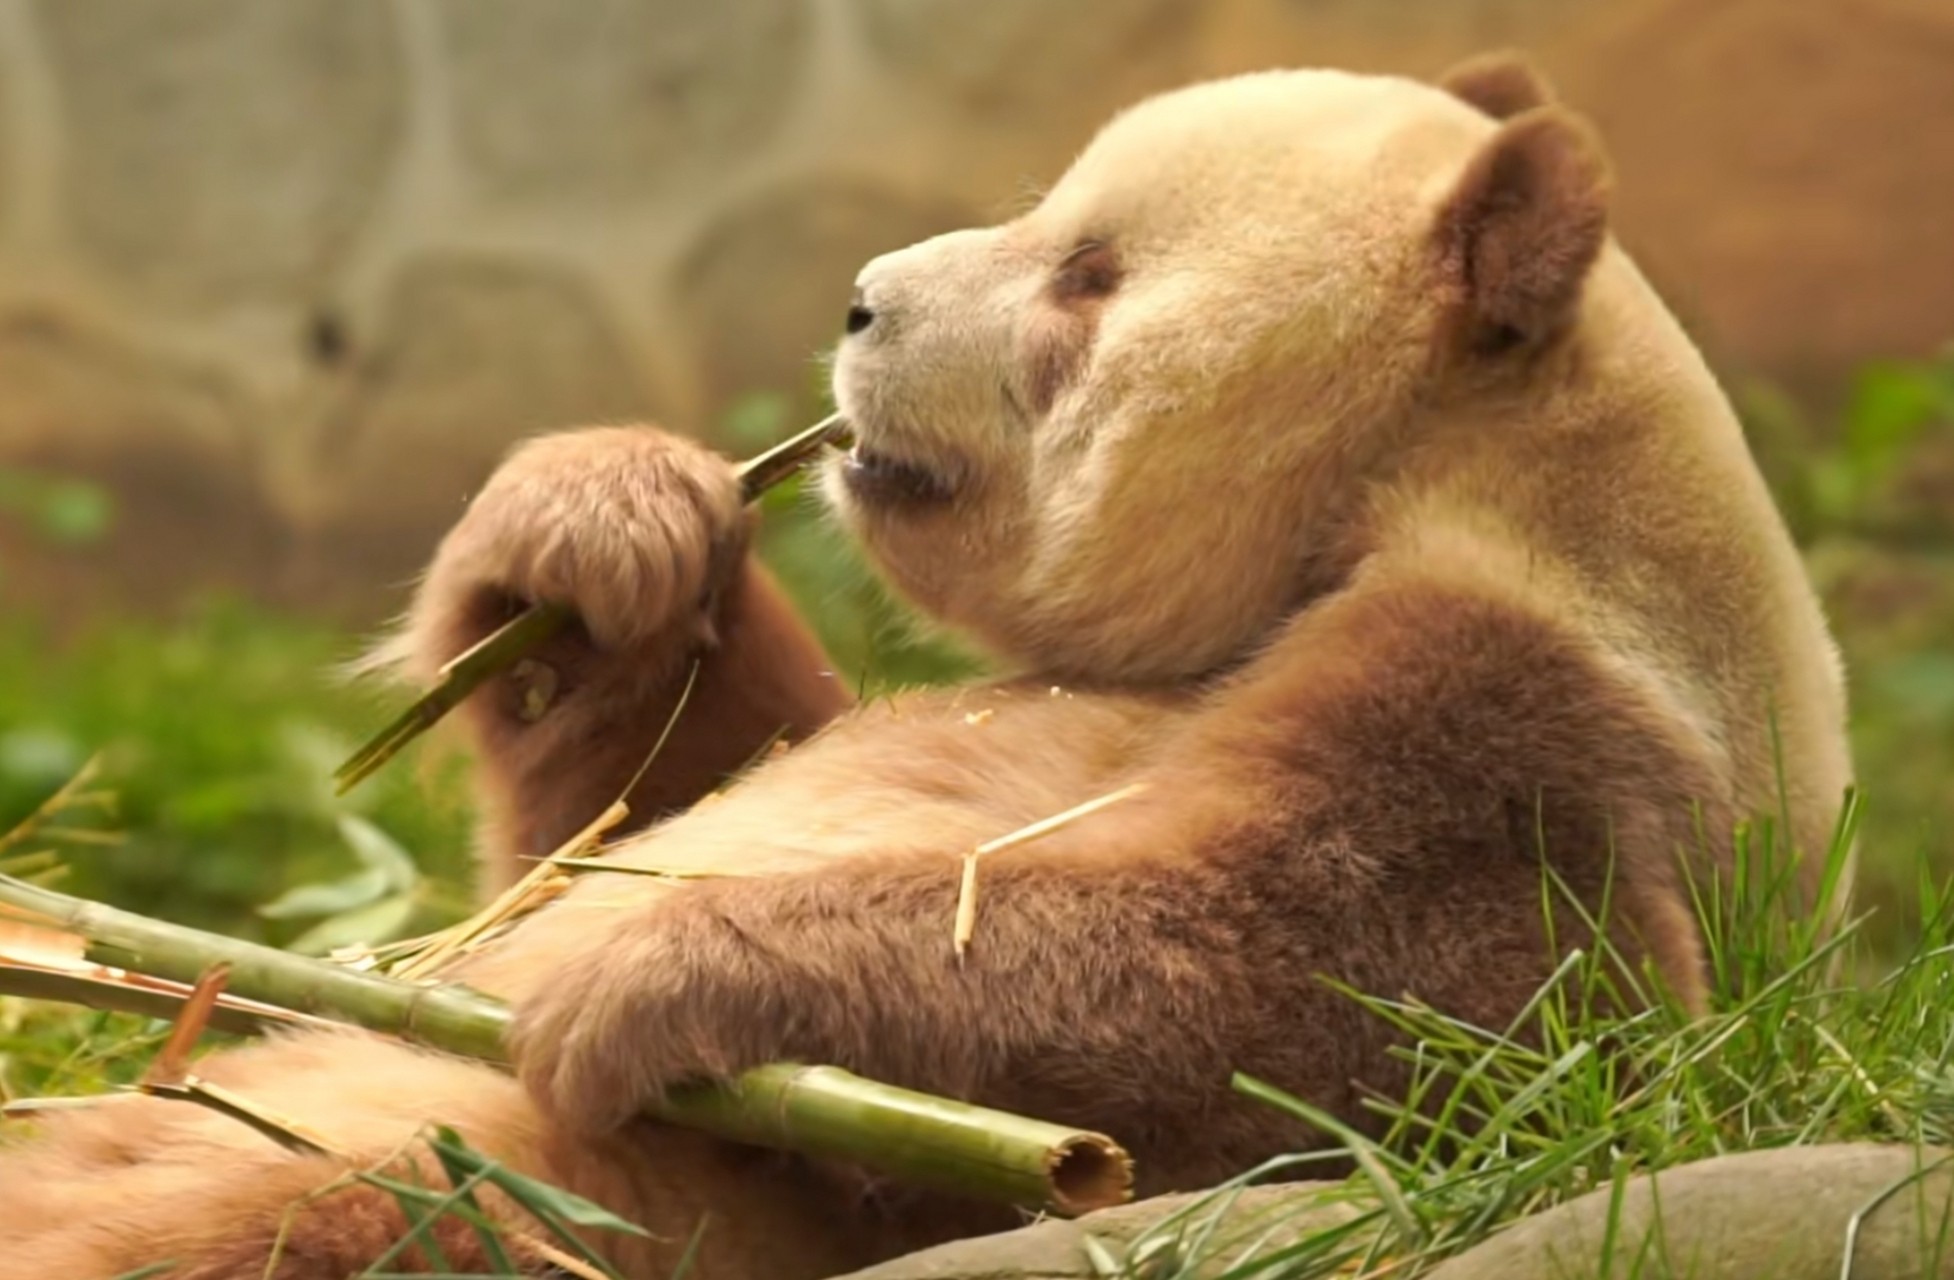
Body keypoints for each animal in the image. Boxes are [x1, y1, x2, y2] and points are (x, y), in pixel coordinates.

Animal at [0, 52, 1850, 1280]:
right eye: (1055, 219)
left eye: (1086, 278)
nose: (860, 302)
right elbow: (634, 803)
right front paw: (597, 532)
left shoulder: (1542, 710)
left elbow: (1363, 1010)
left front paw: (647, 974)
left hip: (442, 1202)